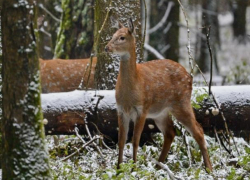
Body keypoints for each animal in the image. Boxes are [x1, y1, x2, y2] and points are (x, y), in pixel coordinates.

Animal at [104, 18, 212, 172]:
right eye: (113, 35)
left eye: (122, 37)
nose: (107, 47)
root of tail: (190, 77)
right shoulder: (120, 110)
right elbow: (121, 140)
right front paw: (118, 169)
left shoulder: (142, 109)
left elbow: (135, 140)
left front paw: (133, 168)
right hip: (160, 112)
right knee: (170, 132)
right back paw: (158, 166)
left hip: (181, 102)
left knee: (198, 130)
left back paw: (209, 169)